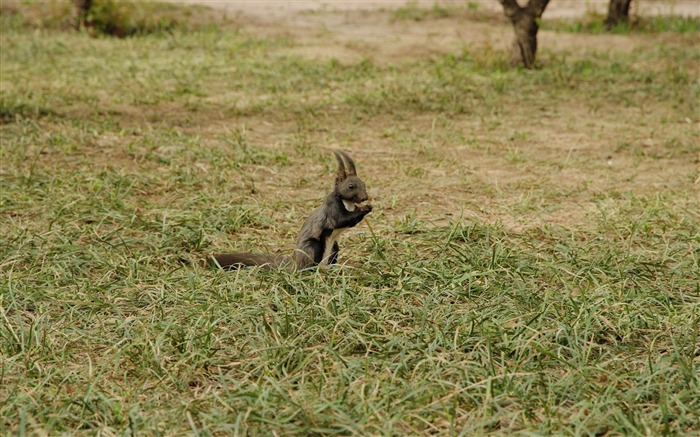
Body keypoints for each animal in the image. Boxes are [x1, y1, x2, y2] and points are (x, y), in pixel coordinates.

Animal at [208, 152, 372, 270]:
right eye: (351, 186)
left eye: (364, 184)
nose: (365, 197)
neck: (347, 203)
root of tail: (294, 263)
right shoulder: (332, 209)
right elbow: (341, 220)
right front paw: (366, 208)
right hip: (312, 247)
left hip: (334, 249)